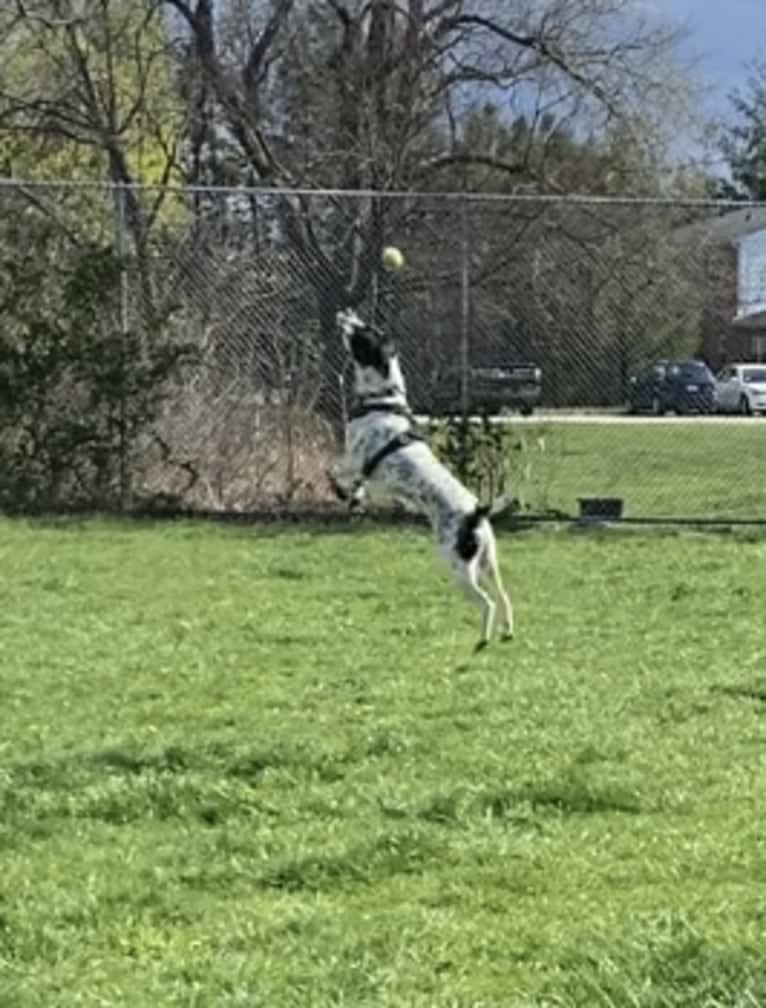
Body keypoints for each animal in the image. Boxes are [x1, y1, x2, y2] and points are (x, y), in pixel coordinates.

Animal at [330, 308, 514, 653]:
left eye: (364, 332)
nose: (346, 312)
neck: (383, 401)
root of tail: (476, 514)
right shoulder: (363, 472)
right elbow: (354, 485)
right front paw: (354, 499)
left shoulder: (355, 460)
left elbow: (335, 471)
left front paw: (341, 492)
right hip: (488, 564)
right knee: (504, 597)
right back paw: (507, 632)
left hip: (460, 569)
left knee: (487, 603)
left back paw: (483, 640)